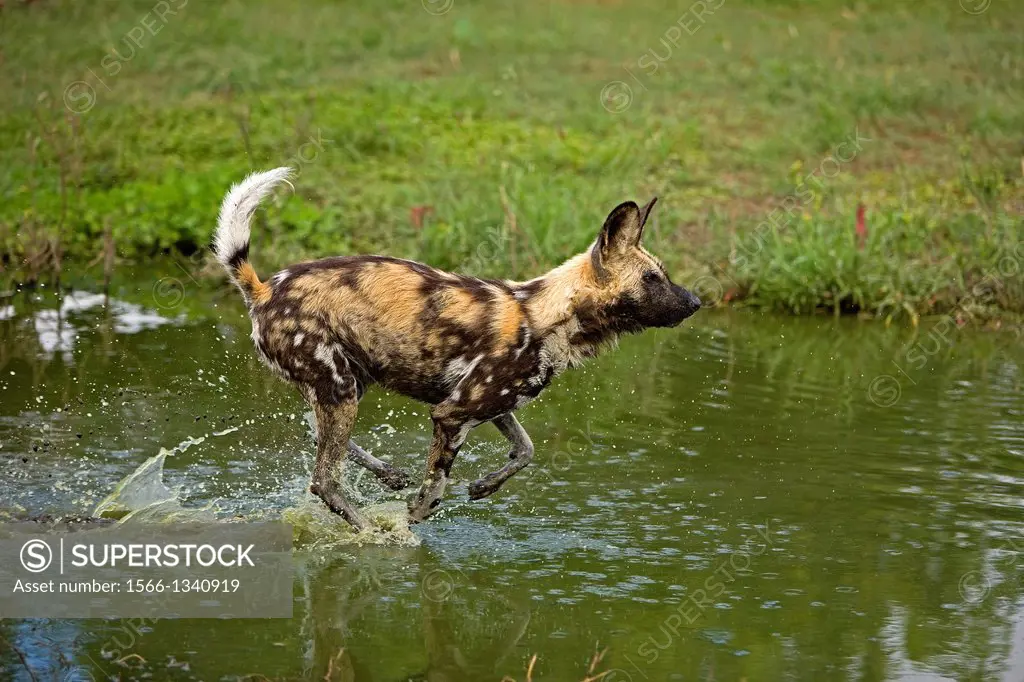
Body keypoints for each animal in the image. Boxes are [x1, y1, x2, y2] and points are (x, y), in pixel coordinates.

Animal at [211, 166, 700, 528]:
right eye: (652, 279)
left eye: (663, 274)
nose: (696, 302)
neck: (547, 316)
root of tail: (263, 290)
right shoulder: (452, 414)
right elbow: (435, 490)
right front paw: (411, 521)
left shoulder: (494, 406)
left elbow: (526, 450)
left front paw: (485, 485)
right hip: (340, 390)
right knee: (324, 481)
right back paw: (370, 531)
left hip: (347, 384)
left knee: (315, 432)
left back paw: (389, 475)